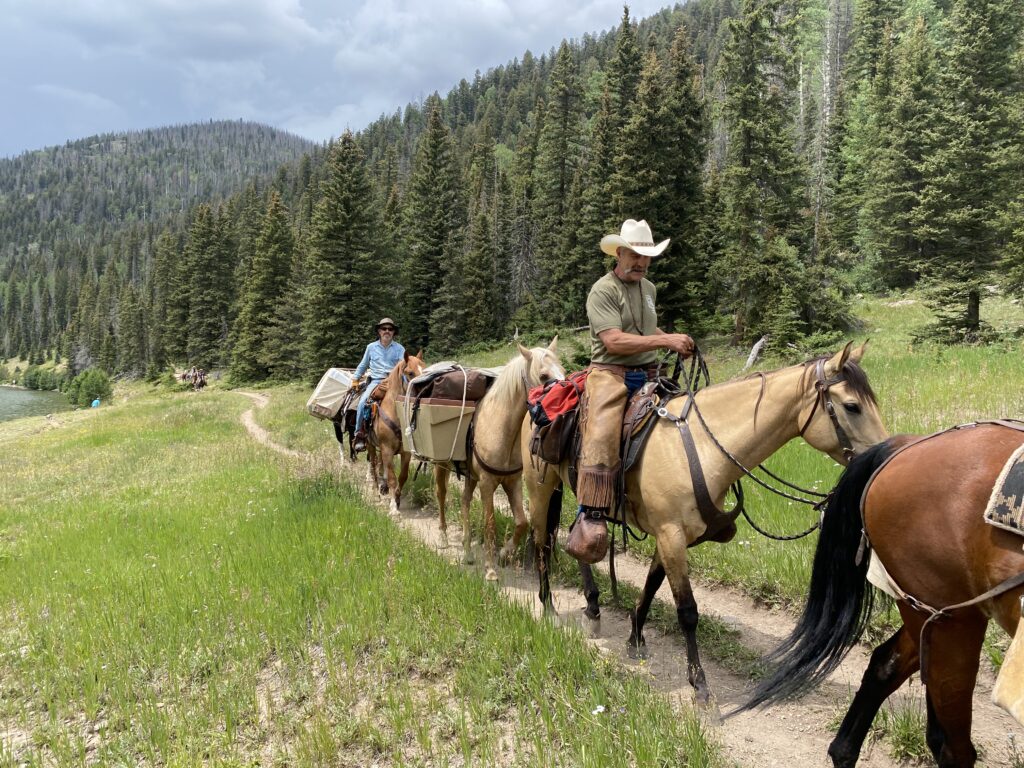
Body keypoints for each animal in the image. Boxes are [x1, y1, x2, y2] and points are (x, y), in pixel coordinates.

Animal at [368, 354, 423, 518]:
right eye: (410, 373)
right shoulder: (386, 449)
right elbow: (392, 478)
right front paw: (393, 508)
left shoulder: (405, 452)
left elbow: (402, 476)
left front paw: (397, 498)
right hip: (370, 445)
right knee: (373, 467)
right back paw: (376, 492)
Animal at [430, 339, 565, 581]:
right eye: (543, 376)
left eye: (564, 370)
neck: (500, 428)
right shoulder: (487, 483)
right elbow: (490, 524)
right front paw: (491, 569)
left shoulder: (512, 482)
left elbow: (522, 522)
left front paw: (504, 554)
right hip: (441, 465)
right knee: (441, 495)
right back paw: (444, 538)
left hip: (470, 476)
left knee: (464, 501)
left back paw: (467, 551)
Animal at [520, 342, 888, 708]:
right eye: (852, 406)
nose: (883, 458)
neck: (700, 447)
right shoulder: (671, 535)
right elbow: (687, 611)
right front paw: (699, 683)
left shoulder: (672, 536)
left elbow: (651, 586)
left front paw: (636, 636)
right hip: (541, 489)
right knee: (542, 542)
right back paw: (548, 606)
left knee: (578, 540)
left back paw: (594, 608)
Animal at [741, 421, 1024, 768]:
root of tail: (907, 445)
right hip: (948, 621)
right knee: (952, 747)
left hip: (932, 615)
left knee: (886, 666)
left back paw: (843, 752)